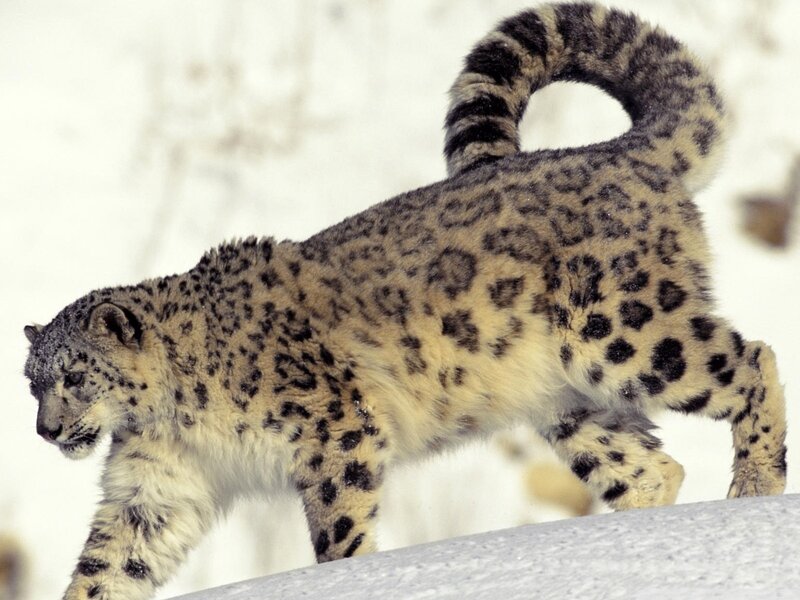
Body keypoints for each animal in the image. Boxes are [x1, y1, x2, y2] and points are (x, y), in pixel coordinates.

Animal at [23, 3, 787, 599]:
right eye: (31, 382)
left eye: (74, 375)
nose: (46, 430)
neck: (171, 415)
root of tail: (623, 152)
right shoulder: (156, 486)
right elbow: (109, 565)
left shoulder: (332, 430)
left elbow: (338, 524)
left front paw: (348, 578)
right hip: (570, 402)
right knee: (651, 466)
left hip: (625, 330)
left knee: (753, 359)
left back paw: (754, 485)